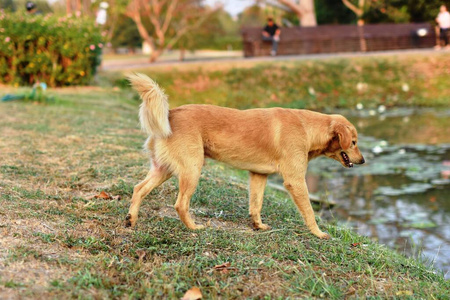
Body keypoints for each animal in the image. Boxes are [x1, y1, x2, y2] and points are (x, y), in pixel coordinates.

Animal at [125, 73, 364, 239]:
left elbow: (255, 205)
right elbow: (309, 212)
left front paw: (258, 226)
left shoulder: (258, 175)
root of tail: (170, 113)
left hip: (164, 169)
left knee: (139, 189)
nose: (363, 161)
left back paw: (130, 220)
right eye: (354, 142)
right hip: (192, 169)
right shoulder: (295, 181)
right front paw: (318, 233)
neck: (307, 127)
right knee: (180, 204)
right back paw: (194, 227)